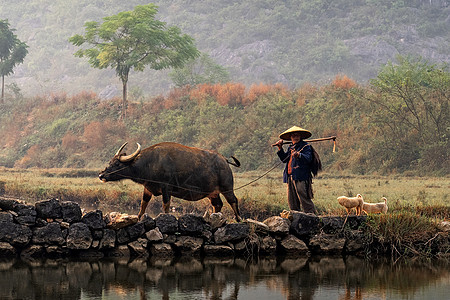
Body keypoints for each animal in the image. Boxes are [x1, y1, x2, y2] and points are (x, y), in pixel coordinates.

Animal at [97, 142, 241, 221]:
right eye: (110, 161)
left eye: (117, 164)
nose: (101, 175)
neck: (149, 163)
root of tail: (224, 160)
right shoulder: (148, 188)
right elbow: (143, 205)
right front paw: (138, 218)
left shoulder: (166, 188)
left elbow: (165, 205)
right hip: (212, 193)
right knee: (218, 204)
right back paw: (215, 216)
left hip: (227, 188)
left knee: (233, 201)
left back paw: (239, 219)